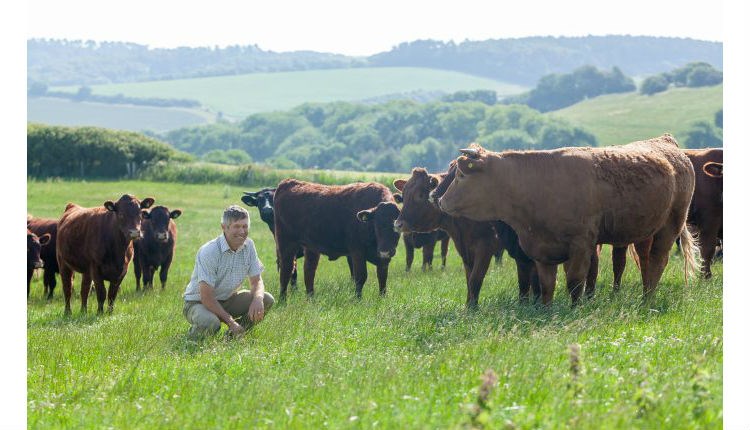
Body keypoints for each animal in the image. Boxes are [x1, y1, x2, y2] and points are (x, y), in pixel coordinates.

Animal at [274, 180, 402, 300]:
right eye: (376, 225)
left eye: (396, 226)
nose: (385, 251)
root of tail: (288, 182)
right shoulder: (357, 252)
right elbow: (360, 277)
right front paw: (358, 299)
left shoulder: (384, 260)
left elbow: (382, 277)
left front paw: (382, 297)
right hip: (286, 243)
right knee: (286, 270)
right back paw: (283, 300)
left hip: (311, 248)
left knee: (309, 271)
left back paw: (311, 299)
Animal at [438, 134, 704, 306]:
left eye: (461, 175)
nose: (441, 200)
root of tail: (666, 142)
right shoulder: (542, 249)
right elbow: (547, 285)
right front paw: (545, 311)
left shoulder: (581, 244)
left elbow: (576, 281)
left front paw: (575, 309)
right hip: (645, 231)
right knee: (647, 262)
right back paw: (645, 295)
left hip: (671, 225)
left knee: (659, 261)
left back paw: (647, 301)